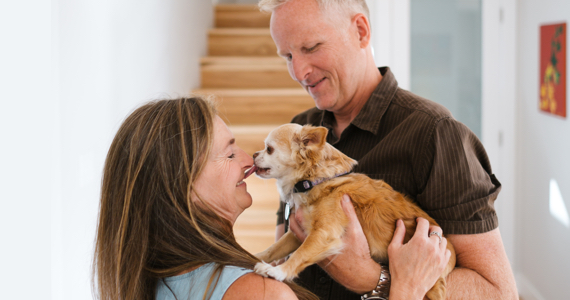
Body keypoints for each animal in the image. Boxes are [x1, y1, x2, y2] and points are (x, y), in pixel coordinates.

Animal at [251, 123, 454, 298]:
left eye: (269, 149)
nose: (253, 154)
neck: (315, 180)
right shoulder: (298, 233)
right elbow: (274, 249)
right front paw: (254, 256)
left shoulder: (324, 233)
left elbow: (300, 254)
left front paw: (277, 271)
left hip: (432, 286)